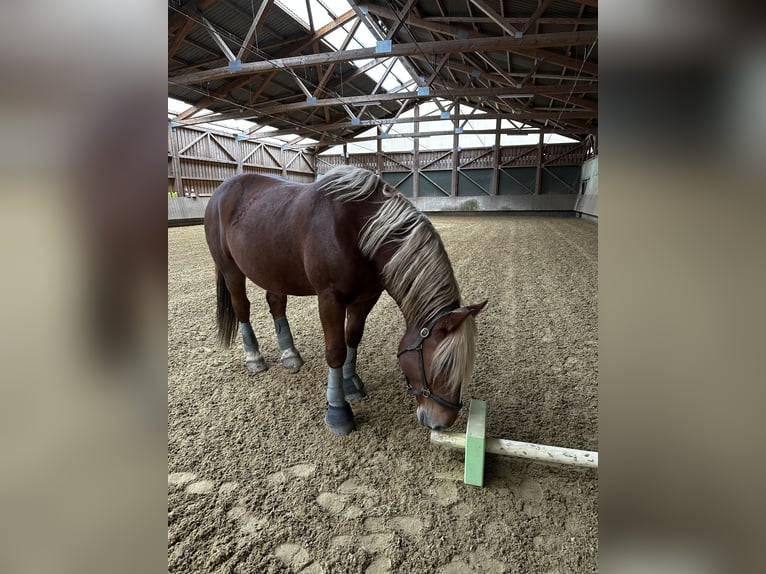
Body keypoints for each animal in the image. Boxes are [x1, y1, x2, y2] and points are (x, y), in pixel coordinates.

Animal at [206, 165, 486, 436]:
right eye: (445, 364)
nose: (441, 422)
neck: (357, 228)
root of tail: (221, 190)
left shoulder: (367, 297)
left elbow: (353, 337)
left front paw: (350, 383)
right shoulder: (330, 298)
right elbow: (336, 351)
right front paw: (338, 410)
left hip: (273, 271)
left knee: (276, 303)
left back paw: (290, 354)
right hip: (231, 270)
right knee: (242, 308)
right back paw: (254, 358)